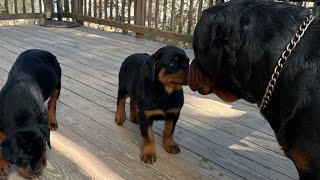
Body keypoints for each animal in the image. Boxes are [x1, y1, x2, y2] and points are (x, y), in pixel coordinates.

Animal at [0, 48, 61, 178]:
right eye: (25, 160)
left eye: (42, 151)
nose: (37, 171)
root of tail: (42, 50)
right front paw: (2, 163)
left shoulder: (43, 117)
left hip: (58, 81)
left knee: (53, 101)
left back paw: (53, 122)